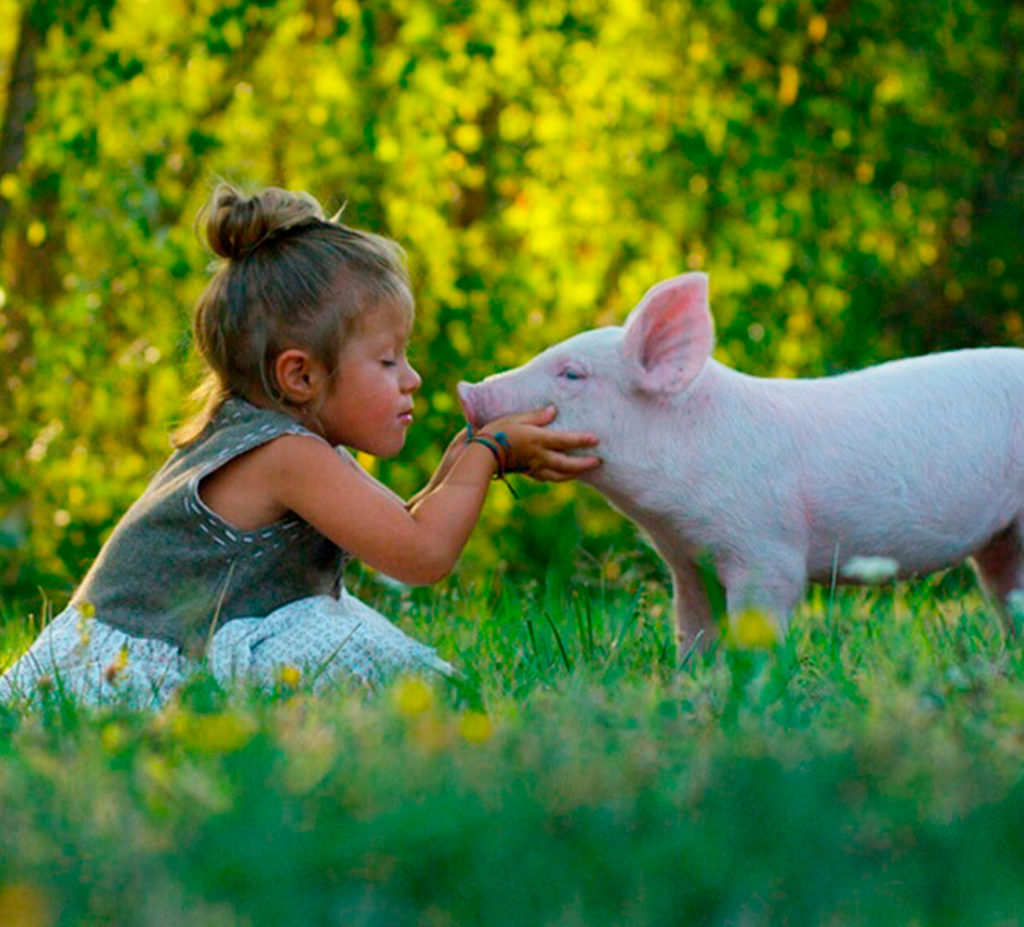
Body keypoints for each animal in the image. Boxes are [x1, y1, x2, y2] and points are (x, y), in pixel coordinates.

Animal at [457, 272, 1024, 652]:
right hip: (1000, 542)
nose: (468, 390)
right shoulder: (688, 563)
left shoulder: (767, 549)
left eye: (572, 374)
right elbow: (692, 627)